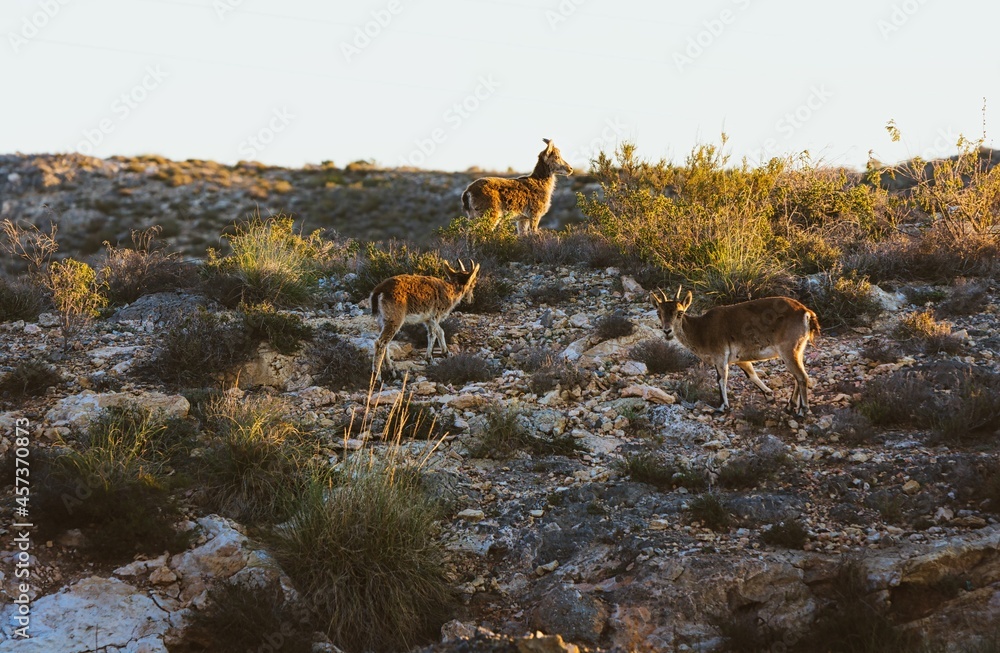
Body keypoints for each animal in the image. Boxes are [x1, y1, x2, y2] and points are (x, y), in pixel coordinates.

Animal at [650, 287, 820, 416]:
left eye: (679, 313)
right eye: (659, 313)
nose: (667, 331)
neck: (702, 329)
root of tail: (806, 312)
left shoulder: (720, 355)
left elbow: (721, 379)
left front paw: (721, 407)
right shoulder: (740, 358)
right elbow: (751, 374)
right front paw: (769, 396)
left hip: (788, 349)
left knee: (801, 376)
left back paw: (802, 410)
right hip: (798, 349)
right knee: (797, 376)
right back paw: (790, 406)